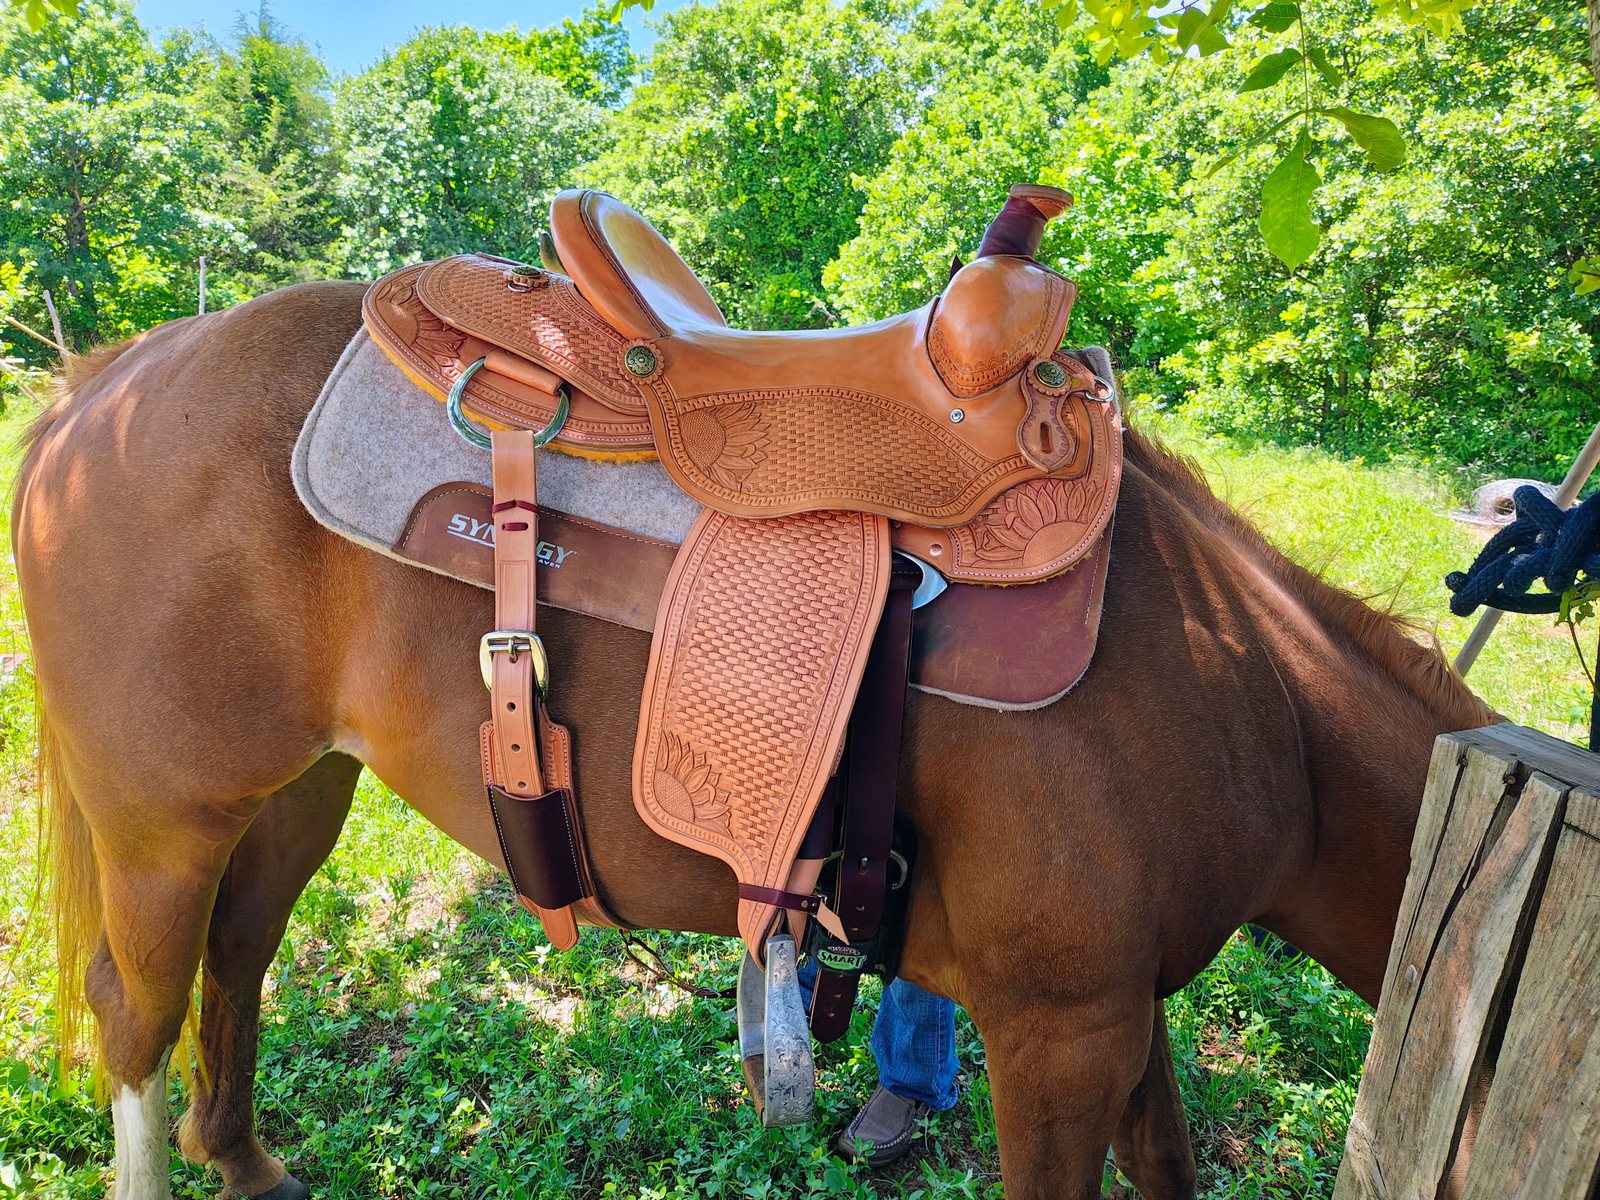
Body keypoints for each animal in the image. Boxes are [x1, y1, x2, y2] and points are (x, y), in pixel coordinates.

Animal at [12, 278, 1493, 1199]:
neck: (1240, 697)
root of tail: (104, 382)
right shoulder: (1060, 1028)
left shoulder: (1127, 1011)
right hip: (160, 818)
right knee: (135, 1010)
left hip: (298, 792)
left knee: (239, 956)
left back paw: (247, 1161)